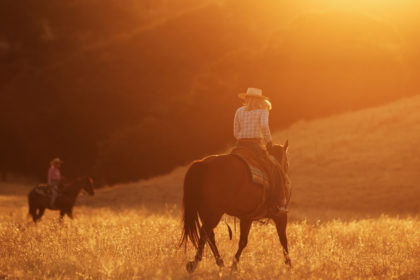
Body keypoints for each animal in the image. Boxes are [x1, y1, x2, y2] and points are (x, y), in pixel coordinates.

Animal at [180, 141, 292, 272]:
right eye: (287, 162)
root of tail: (203, 164)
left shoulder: (247, 218)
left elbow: (243, 241)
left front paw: (234, 264)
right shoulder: (280, 216)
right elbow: (283, 239)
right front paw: (289, 265)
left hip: (205, 212)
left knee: (209, 235)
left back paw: (219, 263)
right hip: (214, 212)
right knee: (205, 232)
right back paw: (196, 262)